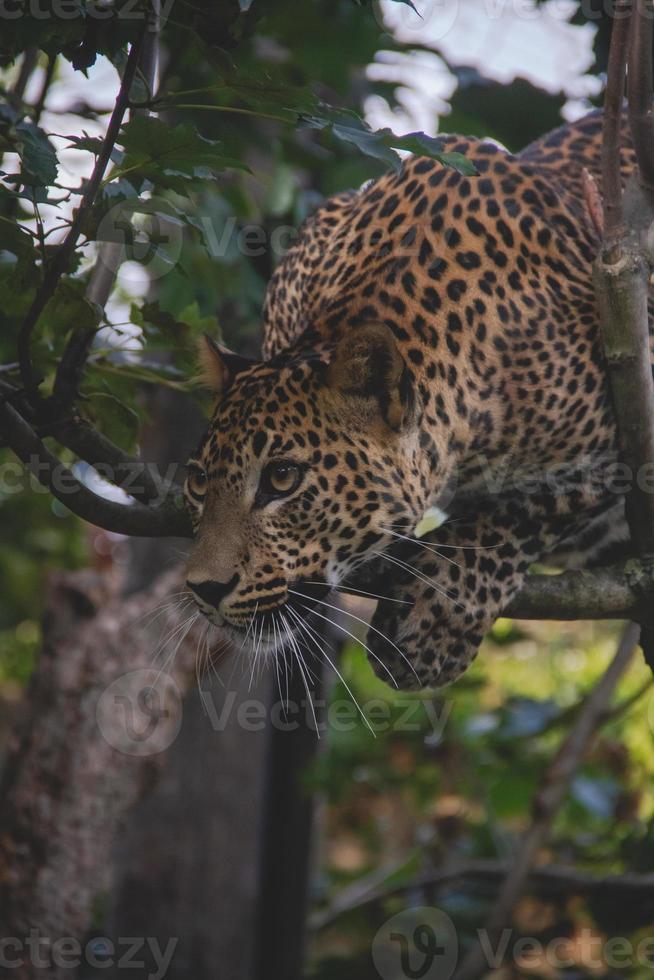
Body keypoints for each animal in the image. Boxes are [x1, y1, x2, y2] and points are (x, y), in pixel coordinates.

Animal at [182, 109, 644, 688]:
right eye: (199, 480)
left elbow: (521, 512)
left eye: (282, 478)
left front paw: (433, 618)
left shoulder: (617, 435)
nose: (205, 588)